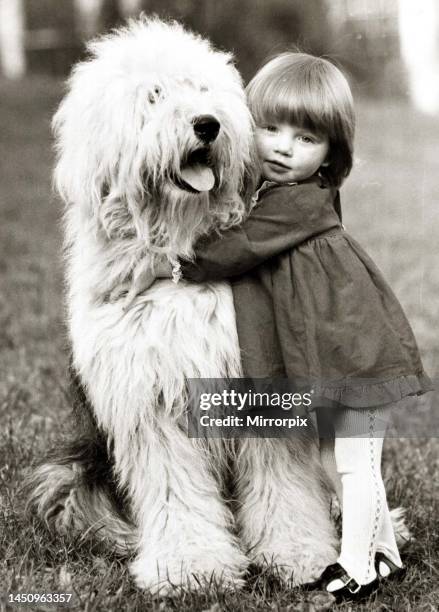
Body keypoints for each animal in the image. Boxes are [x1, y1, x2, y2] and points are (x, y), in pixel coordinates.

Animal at [27, 17, 338, 592]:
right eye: (154, 95)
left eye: (203, 88)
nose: (208, 125)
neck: (180, 244)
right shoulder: (149, 404)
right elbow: (177, 489)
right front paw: (192, 566)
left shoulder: (257, 386)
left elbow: (284, 483)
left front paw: (297, 552)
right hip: (69, 475)